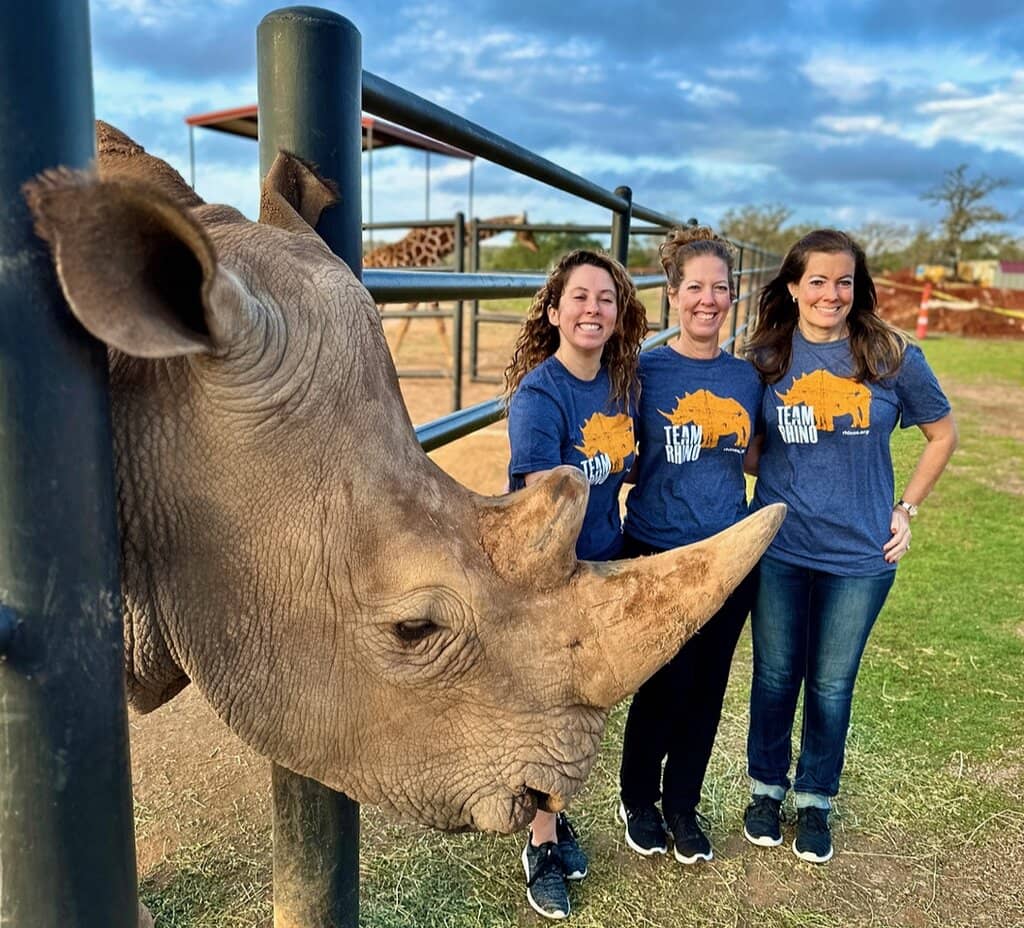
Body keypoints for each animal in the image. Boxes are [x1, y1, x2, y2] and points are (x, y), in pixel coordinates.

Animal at [364, 214, 539, 366]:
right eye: (527, 230)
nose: (535, 246)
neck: (438, 245)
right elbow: (434, 324)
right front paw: (451, 361)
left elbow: (411, 323)